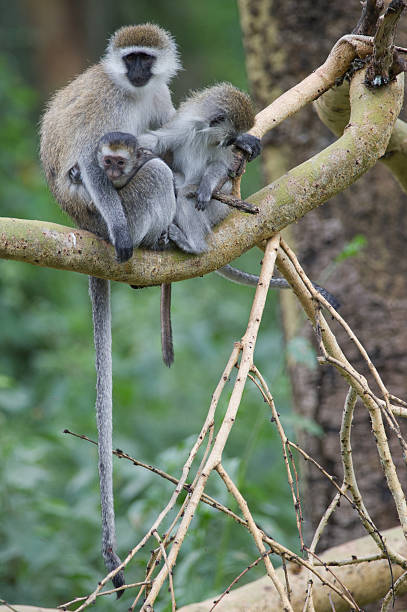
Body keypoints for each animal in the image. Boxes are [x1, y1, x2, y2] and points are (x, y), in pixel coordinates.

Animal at [39, 22, 182, 592]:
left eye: (146, 58)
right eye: (130, 58)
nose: (138, 71)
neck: (134, 91)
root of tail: (78, 226)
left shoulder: (158, 96)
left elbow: (173, 132)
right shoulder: (108, 108)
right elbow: (91, 156)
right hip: (99, 211)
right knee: (151, 174)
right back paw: (148, 236)